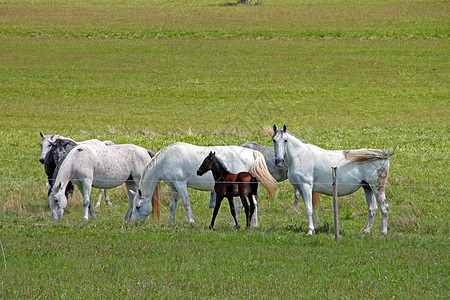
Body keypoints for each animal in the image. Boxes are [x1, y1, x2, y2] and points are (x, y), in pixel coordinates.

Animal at [130, 142, 278, 225]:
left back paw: (233, 223)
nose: (134, 223)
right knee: (253, 204)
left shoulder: (181, 184)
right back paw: (254, 224)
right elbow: (173, 205)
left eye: (137, 206)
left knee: (239, 206)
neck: (166, 159)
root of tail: (252, 152)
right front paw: (171, 222)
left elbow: (186, 203)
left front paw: (191, 221)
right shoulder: (174, 187)